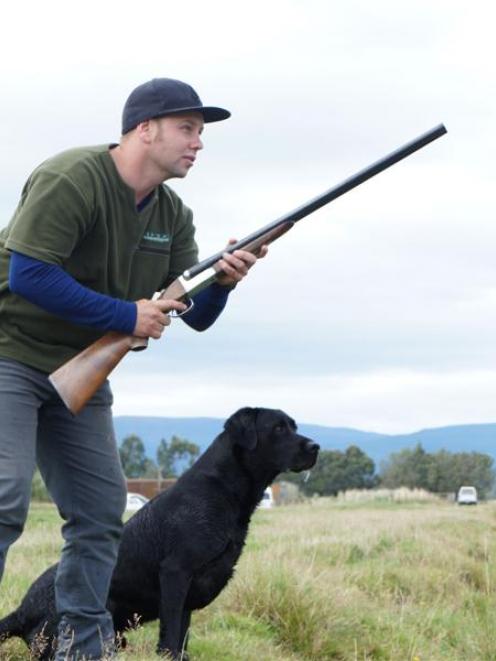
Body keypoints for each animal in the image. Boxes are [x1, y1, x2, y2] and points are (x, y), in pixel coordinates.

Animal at [0, 404, 318, 656]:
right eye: (278, 428)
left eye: (294, 426)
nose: (315, 447)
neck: (223, 491)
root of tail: (21, 610)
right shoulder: (176, 572)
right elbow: (172, 633)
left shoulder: (190, 587)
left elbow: (184, 636)